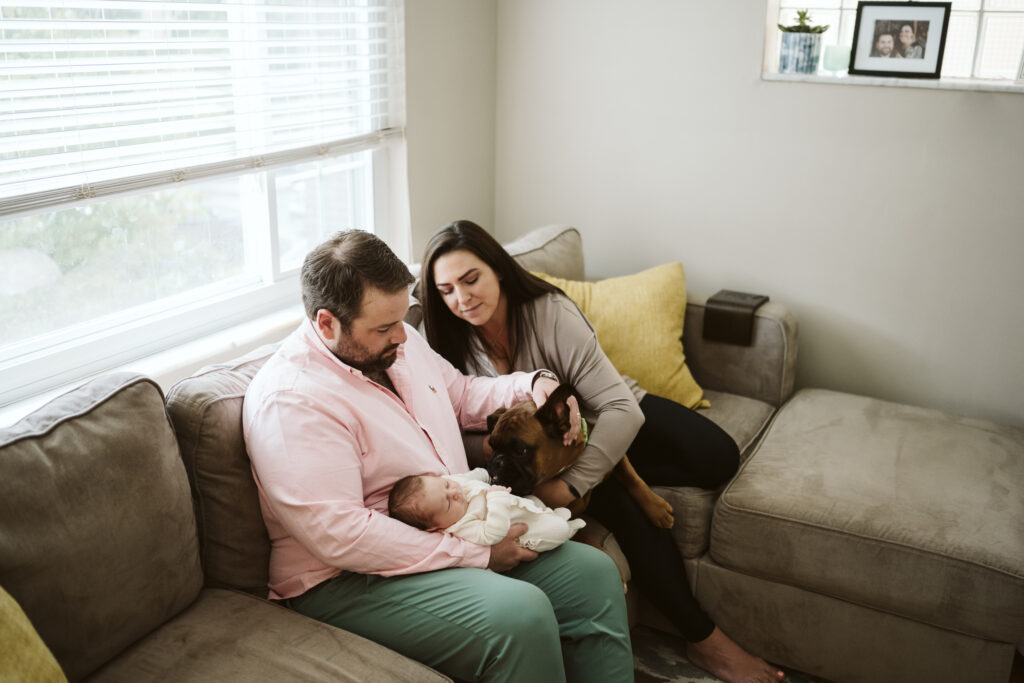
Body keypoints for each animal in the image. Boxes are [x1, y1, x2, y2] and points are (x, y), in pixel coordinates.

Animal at [485, 385, 675, 528]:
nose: (497, 461)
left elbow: (633, 478)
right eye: (492, 446)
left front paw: (657, 508)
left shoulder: (616, 454)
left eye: (521, 451)